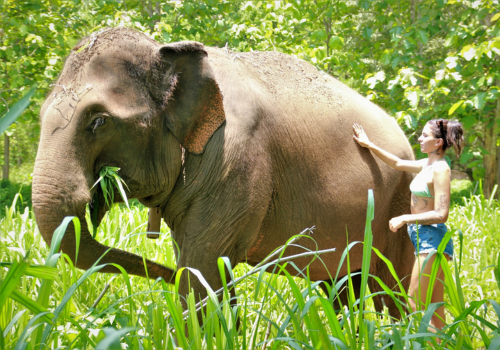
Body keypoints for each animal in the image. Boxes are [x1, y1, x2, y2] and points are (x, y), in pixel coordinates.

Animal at [32, 27, 414, 314]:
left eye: (98, 121)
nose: (164, 275)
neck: (165, 49)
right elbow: (199, 263)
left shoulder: (237, 159)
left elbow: (202, 265)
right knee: (342, 284)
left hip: (402, 200)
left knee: (395, 287)